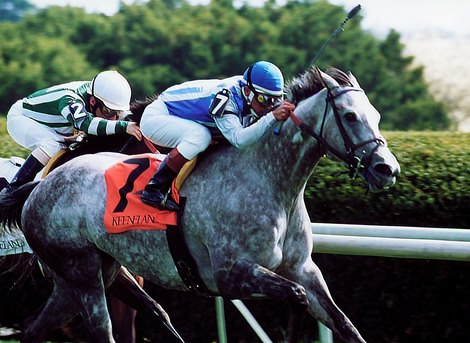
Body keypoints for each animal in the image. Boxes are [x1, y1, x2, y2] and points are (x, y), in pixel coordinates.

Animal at [0, 68, 400, 343]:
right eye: (350, 116)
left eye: (377, 115)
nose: (387, 169)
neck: (270, 181)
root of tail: (39, 188)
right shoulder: (231, 274)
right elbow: (296, 298)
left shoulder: (302, 269)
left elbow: (343, 322)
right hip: (81, 272)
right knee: (101, 329)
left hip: (91, 274)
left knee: (35, 329)